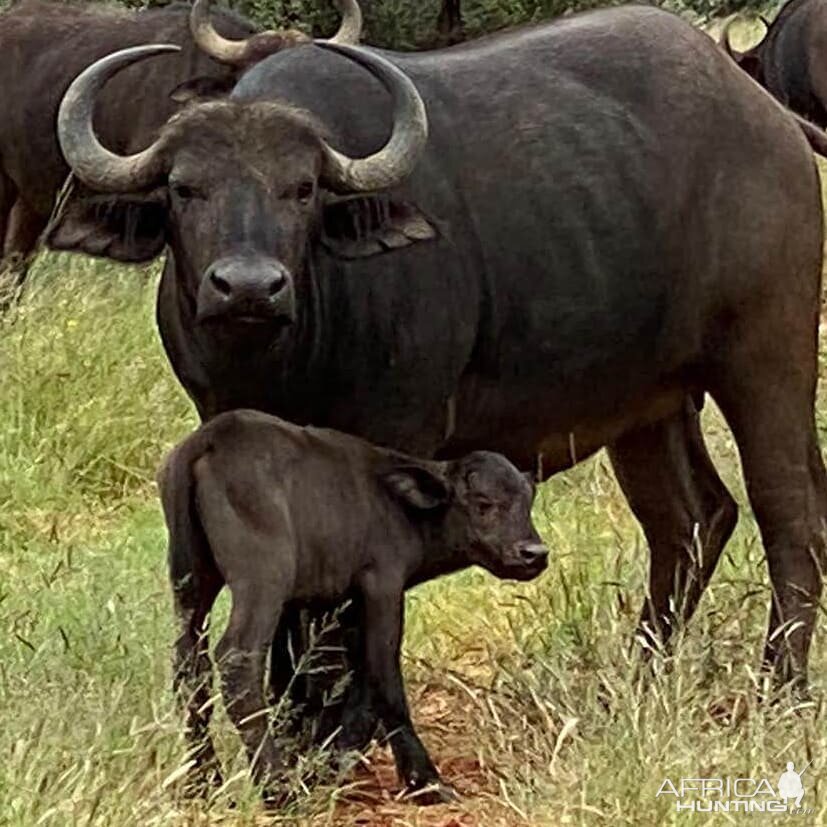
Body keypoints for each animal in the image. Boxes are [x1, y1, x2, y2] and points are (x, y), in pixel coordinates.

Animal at [159, 410, 548, 804]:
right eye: (483, 503)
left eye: (527, 502)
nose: (534, 553)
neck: (400, 506)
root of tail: (211, 438)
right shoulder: (383, 586)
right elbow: (384, 677)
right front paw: (425, 781)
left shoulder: (344, 603)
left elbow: (354, 682)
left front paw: (331, 759)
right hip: (262, 581)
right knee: (237, 658)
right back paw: (279, 788)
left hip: (190, 580)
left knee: (190, 668)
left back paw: (203, 782)